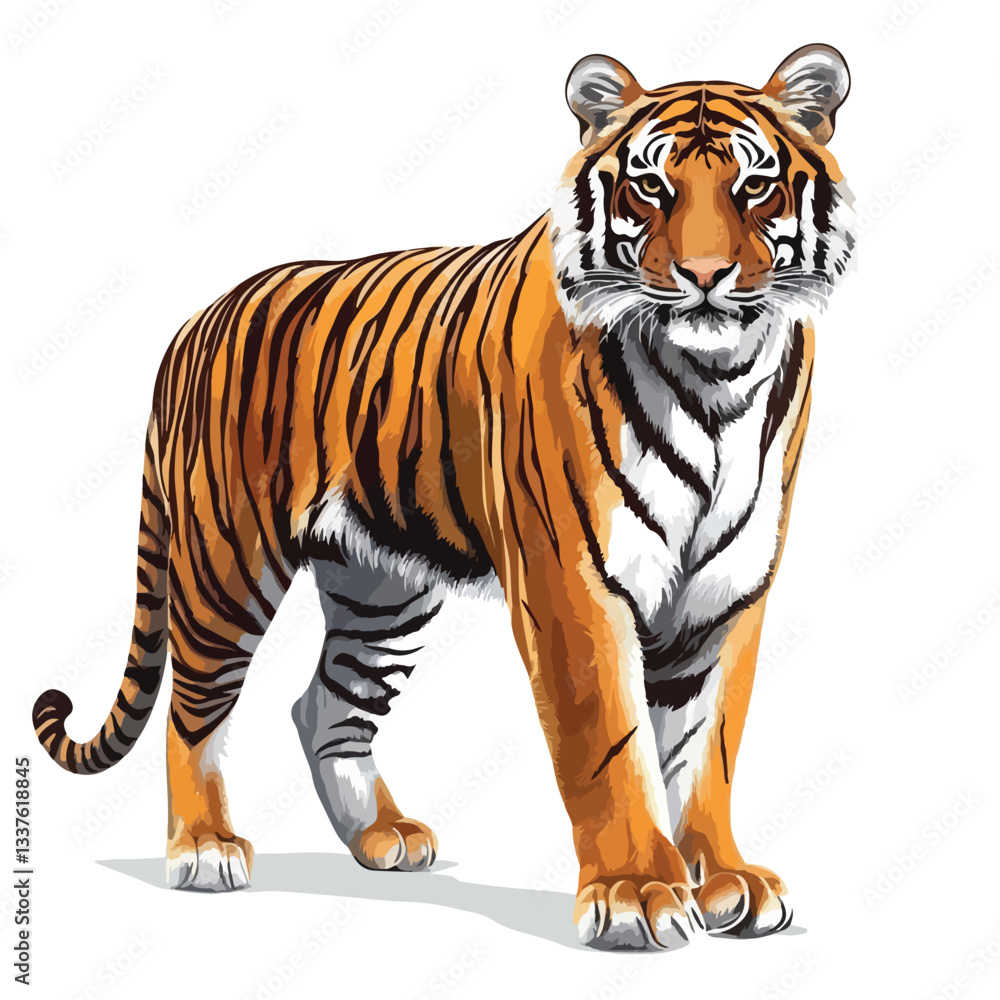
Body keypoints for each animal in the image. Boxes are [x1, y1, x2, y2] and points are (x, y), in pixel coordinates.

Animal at [33, 44, 853, 949]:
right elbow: (609, 742)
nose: (705, 277)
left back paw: (381, 836)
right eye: (650, 186)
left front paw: (728, 879)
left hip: (382, 590)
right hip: (226, 565)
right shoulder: (571, 583)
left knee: (325, 705)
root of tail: (192, 324)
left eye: (755, 185)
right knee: (193, 710)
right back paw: (205, 848)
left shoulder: (727, 592)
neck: (716, 382)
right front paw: (636, 891)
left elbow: (709, 747)